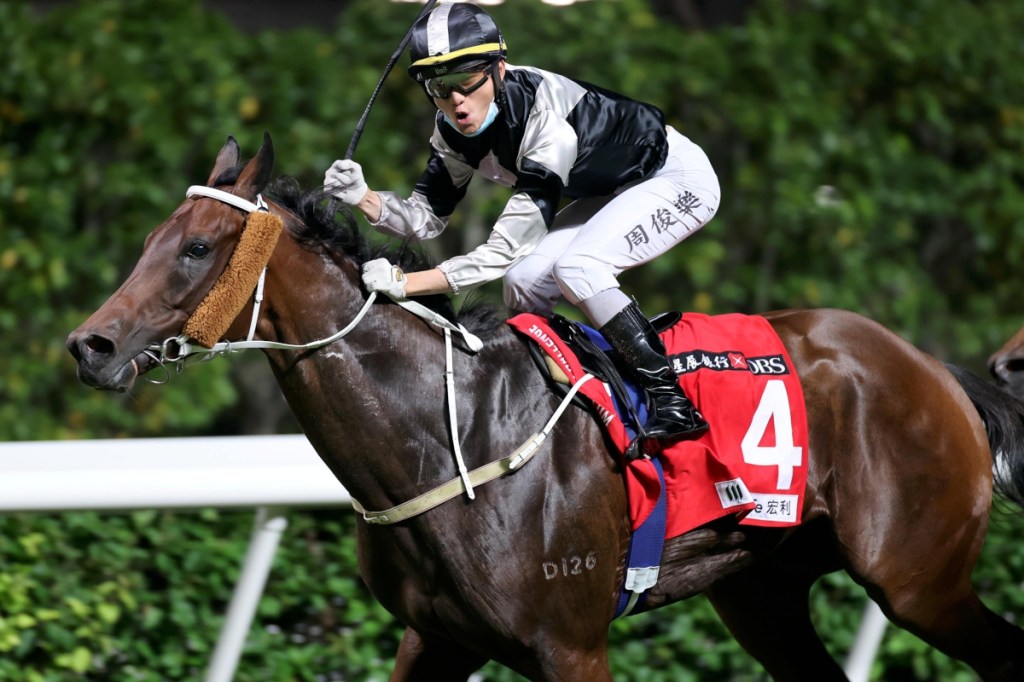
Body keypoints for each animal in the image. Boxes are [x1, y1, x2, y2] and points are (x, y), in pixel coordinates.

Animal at [67, 133, 1024, 681]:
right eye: (152, 240)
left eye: (197, 248)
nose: (92, 345)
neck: (441, 436)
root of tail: (933, 370)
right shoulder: (436, 639)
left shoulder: (572, 646)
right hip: (763, 593)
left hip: (917, 581)